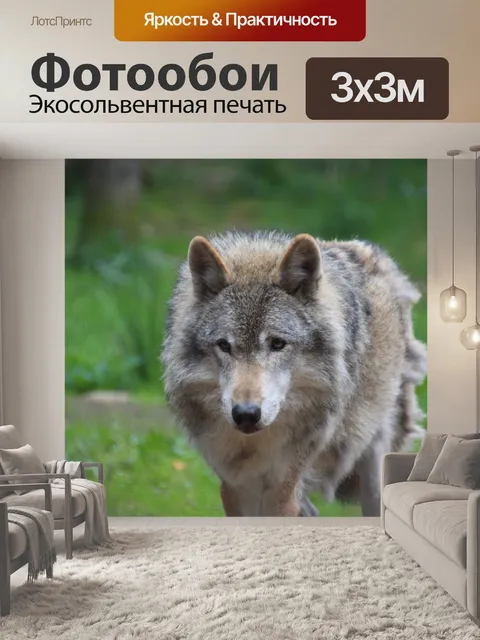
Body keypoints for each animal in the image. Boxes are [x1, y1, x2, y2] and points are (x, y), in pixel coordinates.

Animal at [162, 231, 426, 517]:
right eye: (224, 345)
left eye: (277, 344)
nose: (245, 414)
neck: (255, 446)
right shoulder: (235, 486)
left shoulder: (282, 488)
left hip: (372, 465)